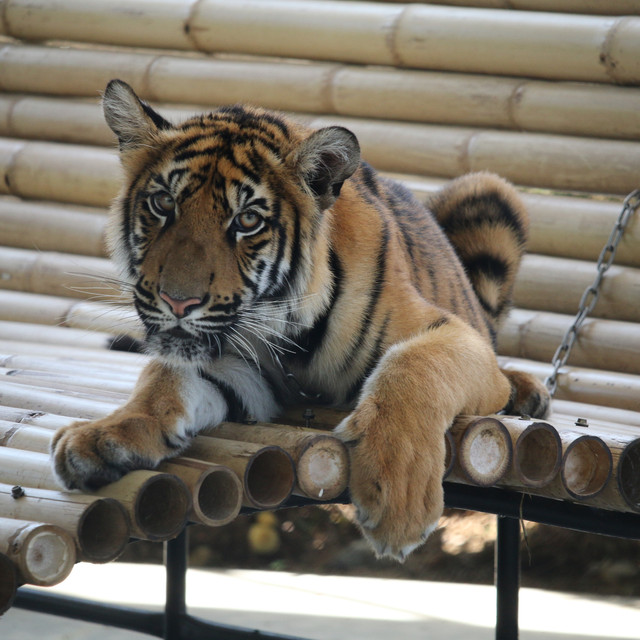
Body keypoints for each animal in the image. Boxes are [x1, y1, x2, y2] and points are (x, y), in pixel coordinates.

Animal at [51, 79, 549, 560]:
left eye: (246, 220)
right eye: (162, 204)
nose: (178, 302)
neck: (291, 333)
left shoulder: (452, 334)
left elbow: (413, 368)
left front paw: (397, 498)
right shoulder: (239, 365)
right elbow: (163, 380)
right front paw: (105, 436)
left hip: (489, 191)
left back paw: (527, 391)